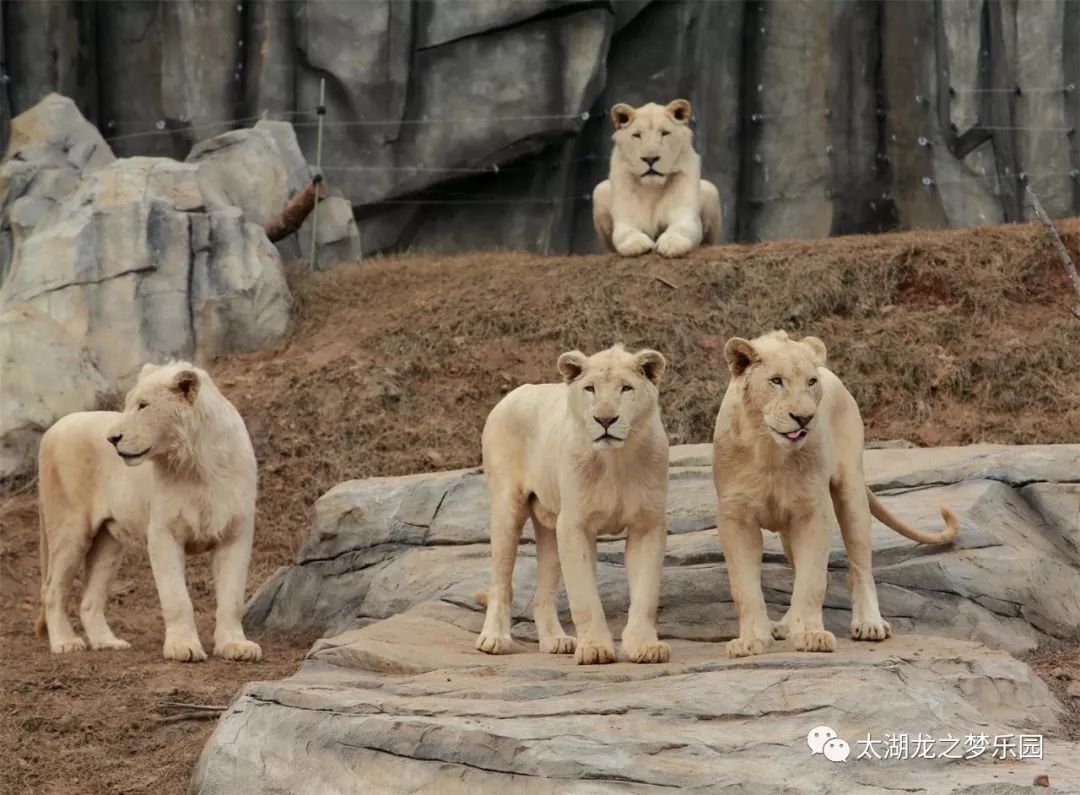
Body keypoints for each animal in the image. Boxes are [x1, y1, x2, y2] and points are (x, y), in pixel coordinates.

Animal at [36, 362, 262, 661]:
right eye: (127, 404)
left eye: (143, 405)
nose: (112, 438)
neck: (197, 464)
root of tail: (52, 429)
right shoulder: (164, 531)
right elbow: (176, 595)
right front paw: (183, 648)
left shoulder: (235, 531)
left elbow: (232, 596)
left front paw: (237, 646)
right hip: (70, 525)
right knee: (53, 588)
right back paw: (65, 643)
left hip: (109, 541)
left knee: (90, 598)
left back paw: (108, 642)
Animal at [477, 345, 669, 661]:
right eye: (590, 388)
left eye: (626, 388)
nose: (605, 419)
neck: (615, 460)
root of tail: (510, 396)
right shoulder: (574, 524)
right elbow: (584, 596)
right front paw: (595, 649)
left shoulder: (647, 524)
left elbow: (646, 592)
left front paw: (645, 647)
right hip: (507, 506)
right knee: (500, 581)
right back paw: (494, 639)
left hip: (549, 522)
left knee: (542, 592)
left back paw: (556, 640)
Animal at [712, 328, 959, 656]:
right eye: (776, 381)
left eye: (810, 382)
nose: (804, 418)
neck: (770, 452)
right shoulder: (735, 516)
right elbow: (744, 586)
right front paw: (751, 640)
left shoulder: (813, 510)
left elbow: (812, 579)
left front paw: (811, 635)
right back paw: (785, 624)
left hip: (850, 488)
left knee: (860, 563)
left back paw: (869, 624)